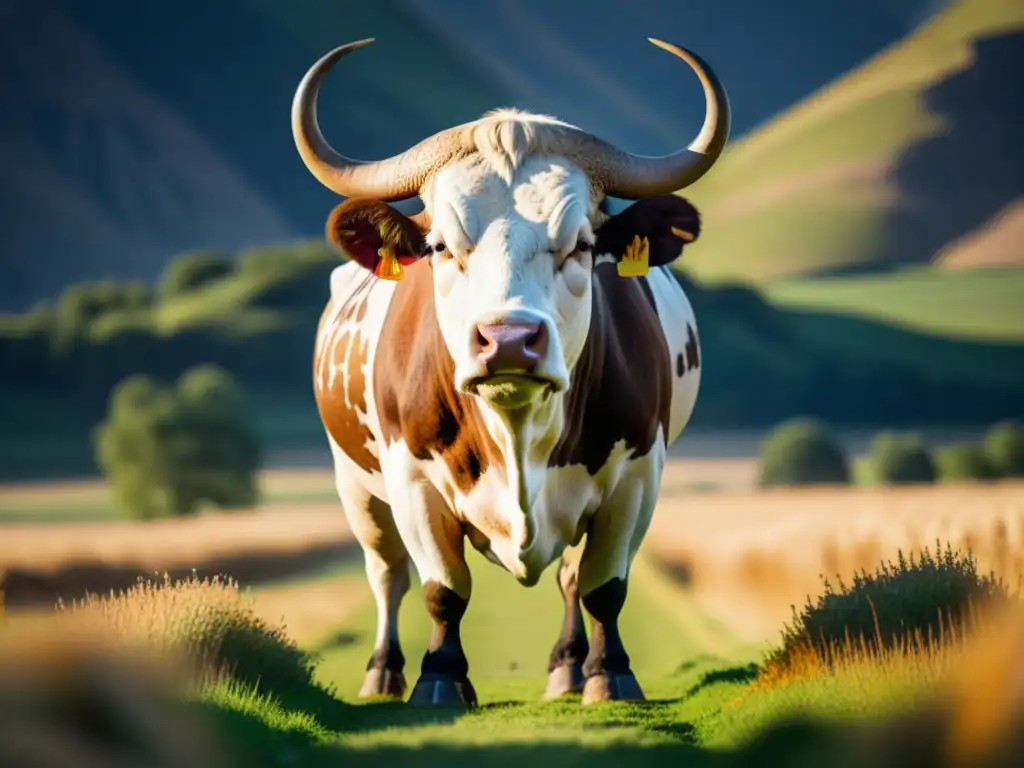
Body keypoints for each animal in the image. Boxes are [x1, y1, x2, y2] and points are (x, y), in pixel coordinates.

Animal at [292, 37, 733, 708]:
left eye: (581, 244)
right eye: (442, 247)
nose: (508, 340)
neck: (517, 431)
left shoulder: (636, 477)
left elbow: (605, 586)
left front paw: (610, 675)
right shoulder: (413, 482)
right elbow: (442, 588)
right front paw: (440, 679)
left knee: (572, 576)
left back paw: (568, 666)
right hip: (355, 486)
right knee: (387, 574)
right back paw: (382, 672)